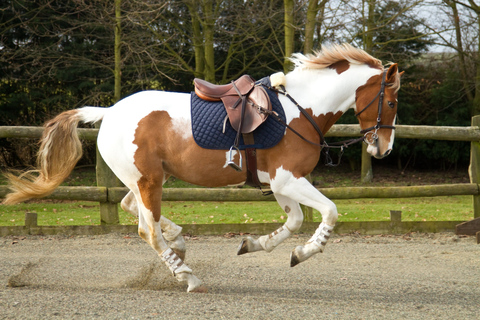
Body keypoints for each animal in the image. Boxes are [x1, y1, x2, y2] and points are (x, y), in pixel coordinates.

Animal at [2, 43, 402, 294]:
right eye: (392, 100)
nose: (383, 148)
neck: (298, 111)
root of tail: (109, 112)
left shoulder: (280, 183)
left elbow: (294, 222)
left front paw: (254, 244)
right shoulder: (289, 179)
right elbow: (329, 212)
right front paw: (304, 253)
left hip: (145, 180)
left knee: (132, 209)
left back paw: (179, 242)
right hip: (149, 181)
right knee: (147, 230)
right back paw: (187, 276)